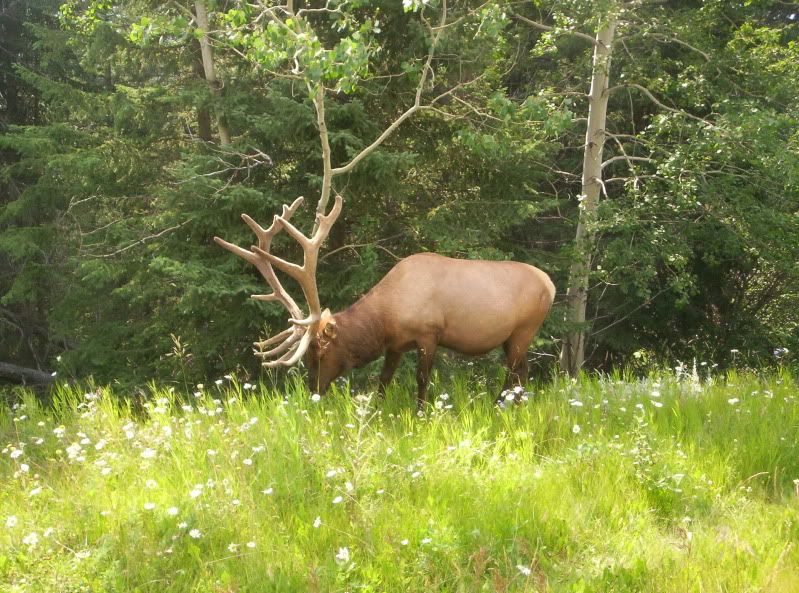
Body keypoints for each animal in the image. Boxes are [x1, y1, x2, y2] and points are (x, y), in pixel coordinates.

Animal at [214, 195, 556, 407]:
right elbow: (383, 382)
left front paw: (421, 416)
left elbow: (421, 381)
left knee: (514, 375)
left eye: (320, 351)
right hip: (514, 337)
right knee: (523, 374)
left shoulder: (429, 334)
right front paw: (375, 413)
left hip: (524, 329)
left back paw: (498, 406)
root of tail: (550, 284)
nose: (314, 391)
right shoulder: (395, 344)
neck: (387, 317)